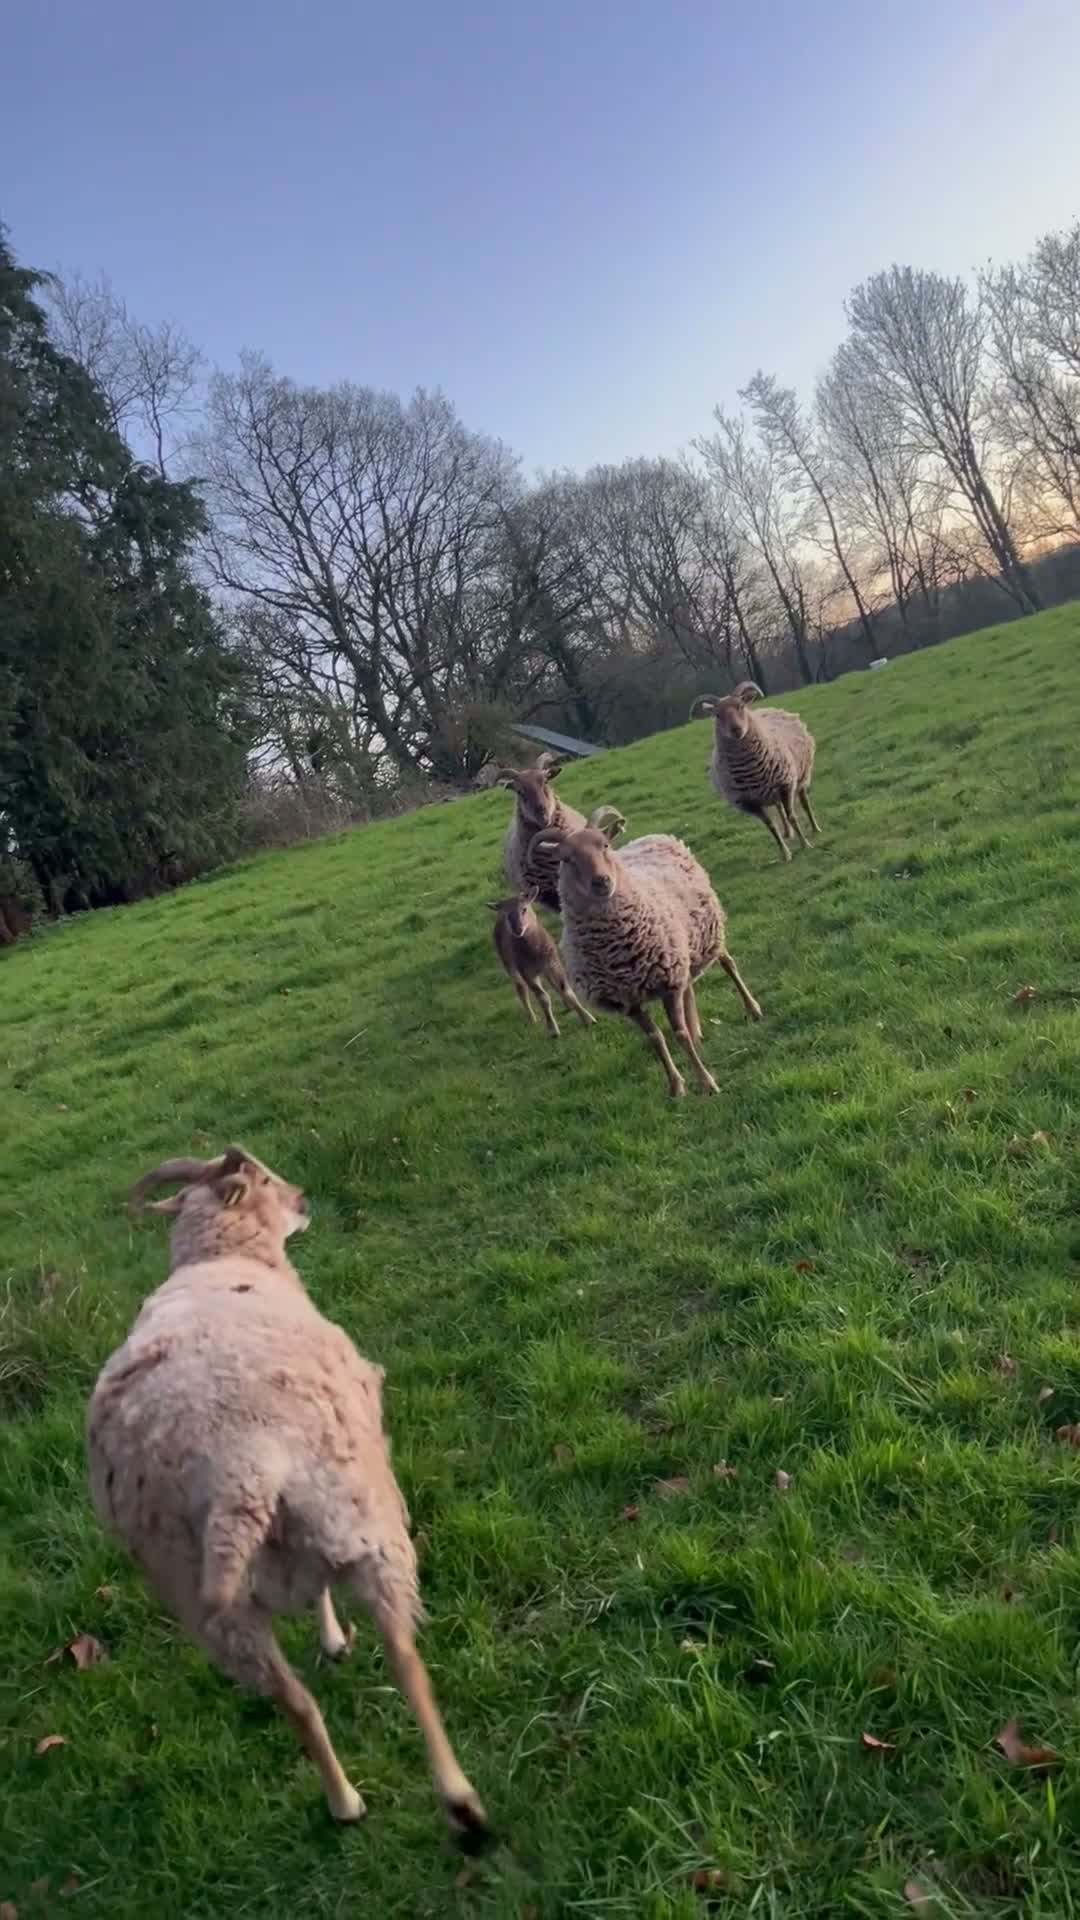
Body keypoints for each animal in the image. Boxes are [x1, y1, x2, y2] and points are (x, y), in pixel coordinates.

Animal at [86, 1146, 490, 1848]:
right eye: (268, 1180)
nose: (303, 1200)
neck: (224, 1257)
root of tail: (240, 1464)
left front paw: (329, 1640)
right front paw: (335, 1636)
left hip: (210, 1606)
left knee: (296, 1704)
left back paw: (343, 1802)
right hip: (364, 1518)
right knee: (404, 1659)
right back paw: (459, 1801)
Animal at [487, 888, 598, 1036]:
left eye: (524, 909)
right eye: (507, 915)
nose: (518, 930)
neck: (534, 952)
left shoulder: (553, 962)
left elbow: (566, 990)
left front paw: (588, 1019)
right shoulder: (526, 971)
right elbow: (543, 998)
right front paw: (553, 1030)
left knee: (553, 985)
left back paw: (567, 1006)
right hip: (508, 962)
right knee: (521, 988)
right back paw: (532, 1018)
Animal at [531, 810, 762, 1099]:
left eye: (604, 846)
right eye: (567, 858)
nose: (602, 881)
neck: (617, 952)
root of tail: (654, 836)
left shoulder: (667, 984)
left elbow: (679, 1034)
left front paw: (706, 1083)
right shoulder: (629, 1002)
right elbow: (655, 1038)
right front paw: (675, 1086)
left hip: (708, 932)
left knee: (729, 965)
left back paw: (752, 1009)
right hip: (681, 949)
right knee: (688, 986)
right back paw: (698, 1030)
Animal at [690, 682, 820, 862]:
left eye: (741, 706)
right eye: (717, 715)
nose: (736, 729)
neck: (750, 769)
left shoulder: (786, 785)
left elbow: (792, 816)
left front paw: (805, 845)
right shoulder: (749, 803)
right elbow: (771, 826)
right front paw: (785, 854)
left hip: (801, 776)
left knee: (805, 803)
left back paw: (815, 829)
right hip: (771, 791)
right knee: (779, 807)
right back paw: (787, 833)